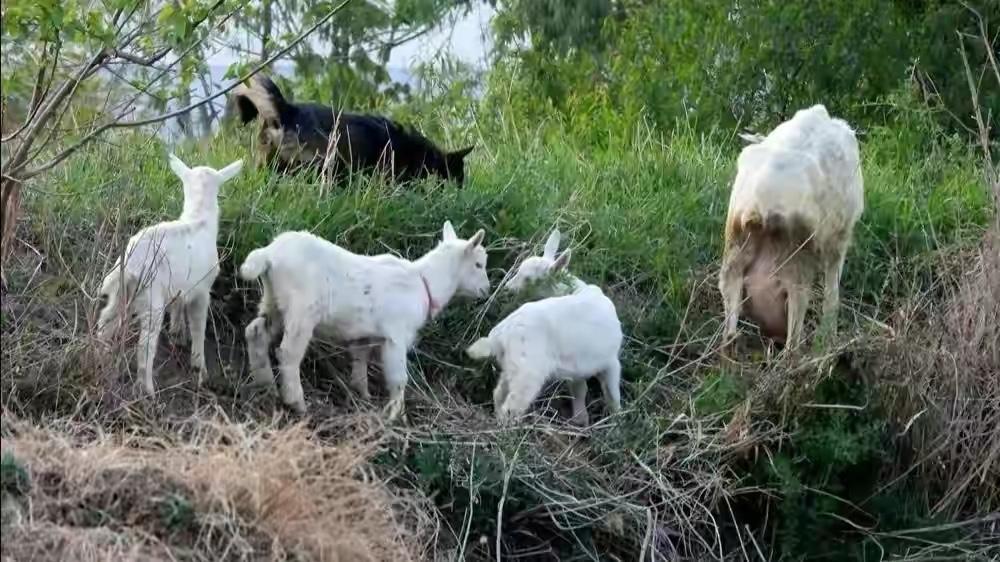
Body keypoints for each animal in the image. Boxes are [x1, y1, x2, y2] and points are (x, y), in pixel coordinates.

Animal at [720, 104, 868, 346]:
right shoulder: (840, 239)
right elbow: (832, 290)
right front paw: (828, 337)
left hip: (734, 255)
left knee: (729, 334)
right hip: (797, 264)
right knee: (793, 341)